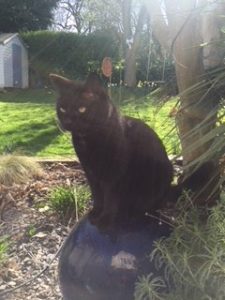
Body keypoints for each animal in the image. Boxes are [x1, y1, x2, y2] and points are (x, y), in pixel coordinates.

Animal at [50, 74, 174, 229]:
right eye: (62, 109)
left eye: (81, 109)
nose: (67, 122)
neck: (88, 139)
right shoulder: (90, 172)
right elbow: (97, 195)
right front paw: (95, 212)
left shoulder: (114, 174)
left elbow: (110, 199)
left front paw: (105, 220)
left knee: (150, 207)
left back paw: (131, 213)